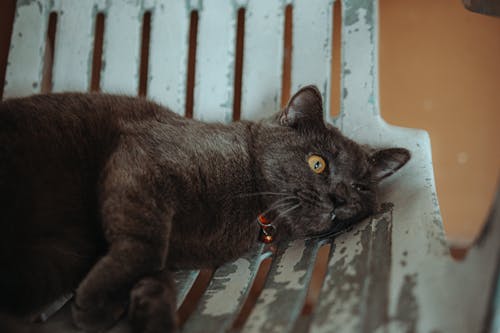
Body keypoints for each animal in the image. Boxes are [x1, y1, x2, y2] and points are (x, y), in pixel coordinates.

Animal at [0, 84, 410, 330]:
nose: (340, 198)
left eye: (360, 187)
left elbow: (158, 275)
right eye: (318, 163)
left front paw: (151, 316)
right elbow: (145, 246)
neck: (253, 208)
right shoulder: (145, 159)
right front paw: (96, 307)